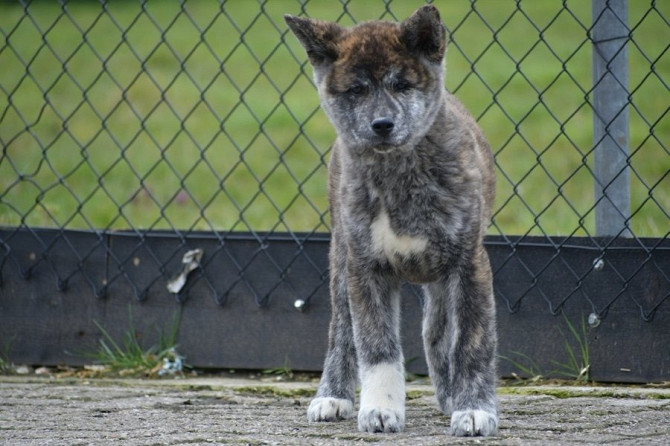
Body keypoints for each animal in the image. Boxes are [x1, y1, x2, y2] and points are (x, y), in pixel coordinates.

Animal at [284, 5, 498, 438]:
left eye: (402, 85)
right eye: (356, 91)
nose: (382, 124)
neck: (398, 176)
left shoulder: (469, 263)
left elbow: (470, 342)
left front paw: (472, 409)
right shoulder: (367, 268)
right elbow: (376, 346)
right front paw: (380, 408)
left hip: (440, 280)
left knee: (436, 332)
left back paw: (449, 396)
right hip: (340, 261)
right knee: (341, 333)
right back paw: (332, 396)